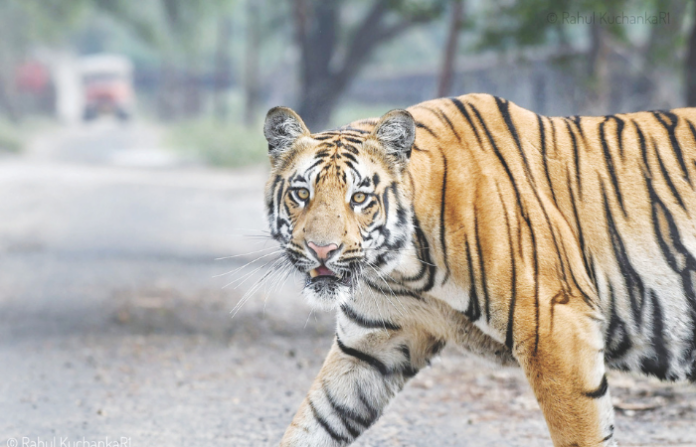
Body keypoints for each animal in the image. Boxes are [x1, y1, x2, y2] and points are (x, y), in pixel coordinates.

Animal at [262, 93, 696, 446]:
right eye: (302, 193)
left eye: (359, 198)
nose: (322, 249)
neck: (402, 269)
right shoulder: (369, 347)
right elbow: (315, 421)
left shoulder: (556, 329)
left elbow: (581, 432)